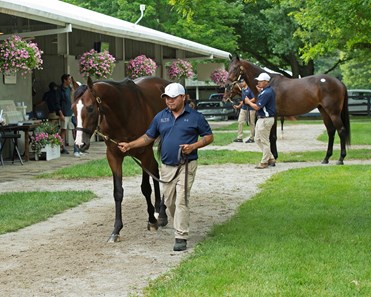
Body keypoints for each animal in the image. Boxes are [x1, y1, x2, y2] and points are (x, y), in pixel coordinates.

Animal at [72, 75, 170, 242]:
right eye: (73, 108)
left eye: (90, 108)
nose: (80, 144)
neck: (123, 113)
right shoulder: (114, 156)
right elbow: (117, 192)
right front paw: (116, 230)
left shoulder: (143, 152)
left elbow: (146, 188)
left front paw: (151, 220)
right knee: (155, 170)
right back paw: (158, 209)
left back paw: (161, 214)